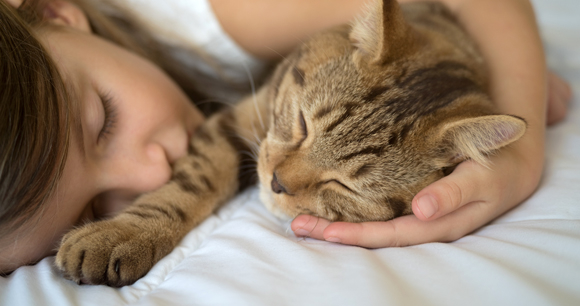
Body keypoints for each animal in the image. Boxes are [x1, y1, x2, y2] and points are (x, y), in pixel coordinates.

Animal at [54, 0, 524, 286]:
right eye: (302, 123)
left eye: (344, 186)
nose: (276, 183)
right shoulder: (239, 118)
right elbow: (190, 185)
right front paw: (123, 234)